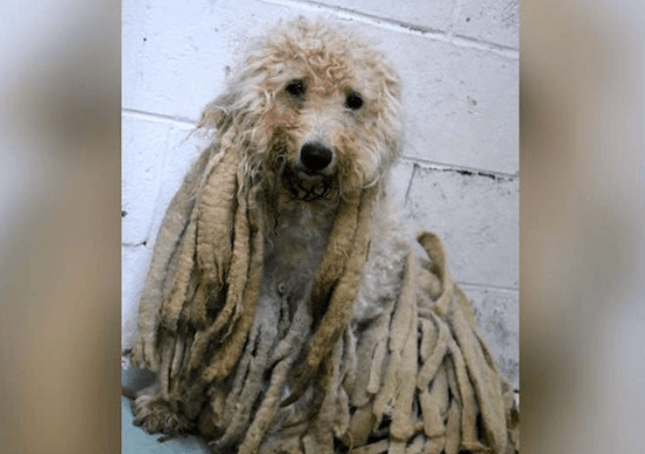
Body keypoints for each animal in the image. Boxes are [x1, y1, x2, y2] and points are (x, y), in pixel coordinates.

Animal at [127, 18, 520, 454]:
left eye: (355, 100)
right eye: (295, 86)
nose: (316, 155)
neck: (302, 208)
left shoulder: (313, 328)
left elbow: (287, 388)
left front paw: (270, 438)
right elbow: (195, 346)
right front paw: (165, 403)